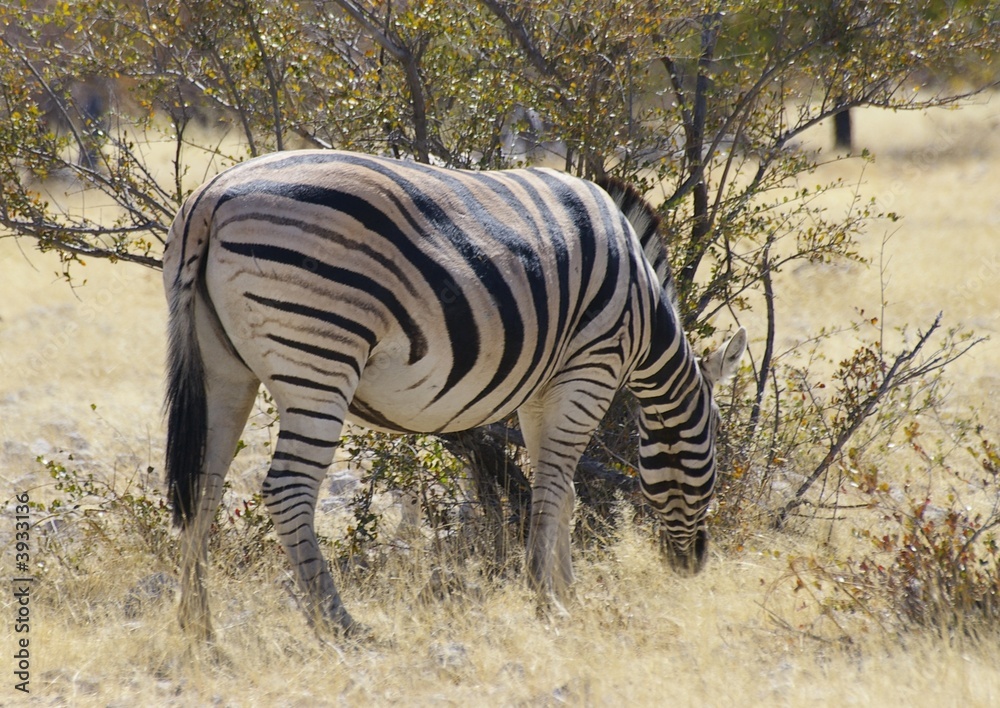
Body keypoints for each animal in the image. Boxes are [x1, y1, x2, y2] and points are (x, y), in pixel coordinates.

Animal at [162, 150, 747, 639]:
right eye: (713, 441)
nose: (692, 564)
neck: (644, 310)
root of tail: (212, 196)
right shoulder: (590, 367)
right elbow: (555, 487)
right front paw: (547, 599)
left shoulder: (542, 388)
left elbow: (561, 492)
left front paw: (566, 593)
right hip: (320, 356)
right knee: (287, 488)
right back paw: (340, 623)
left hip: (223, 366)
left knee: (202, 486)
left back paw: (198, 624)